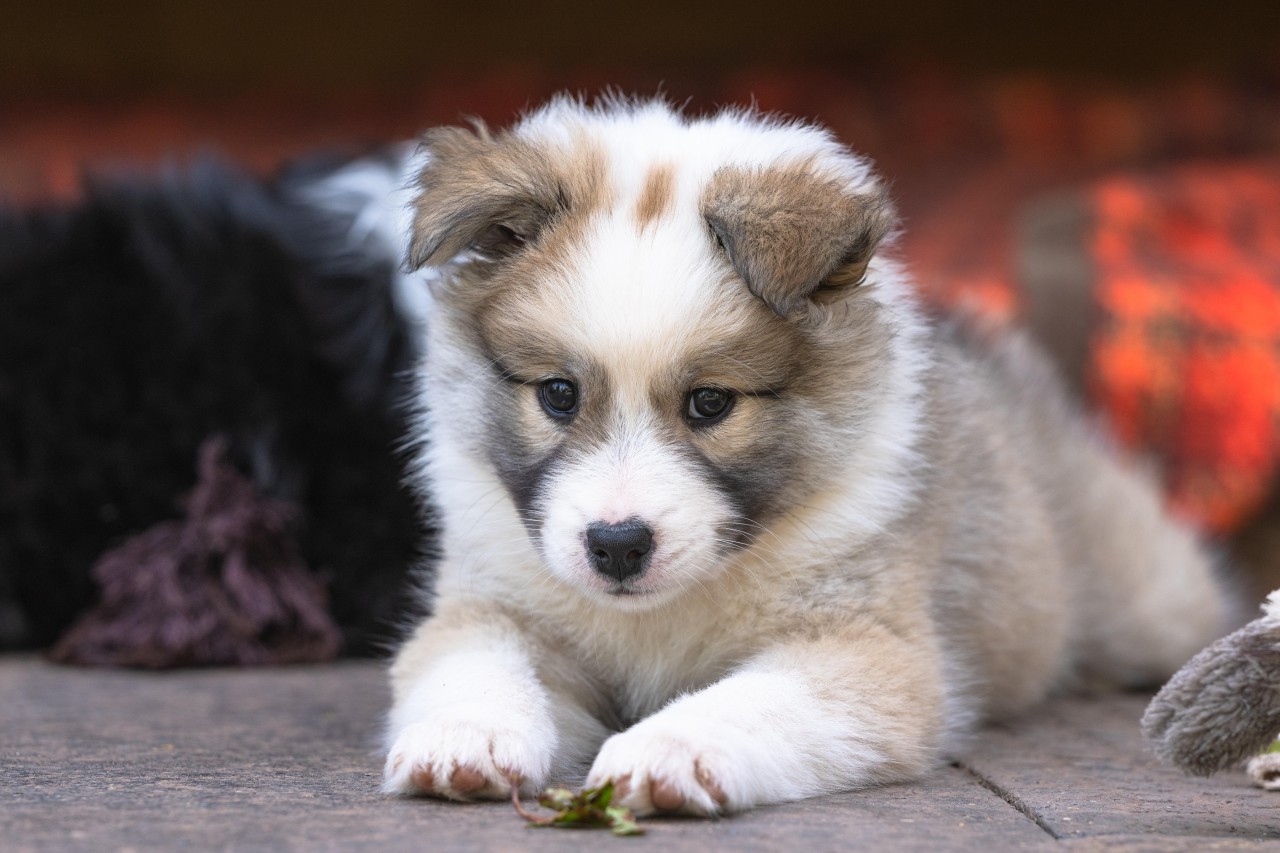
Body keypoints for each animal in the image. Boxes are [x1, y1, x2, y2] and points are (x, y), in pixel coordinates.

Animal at [384, 96, 1233, 814]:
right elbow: (473, 662)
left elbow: (751, 698)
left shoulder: (865, 646)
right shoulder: (490, 604)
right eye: (558, 394)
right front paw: (463, 737)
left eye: (711, 403)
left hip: (1149, 601)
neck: (662, 611)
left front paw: (669, 749)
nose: (617, 547)